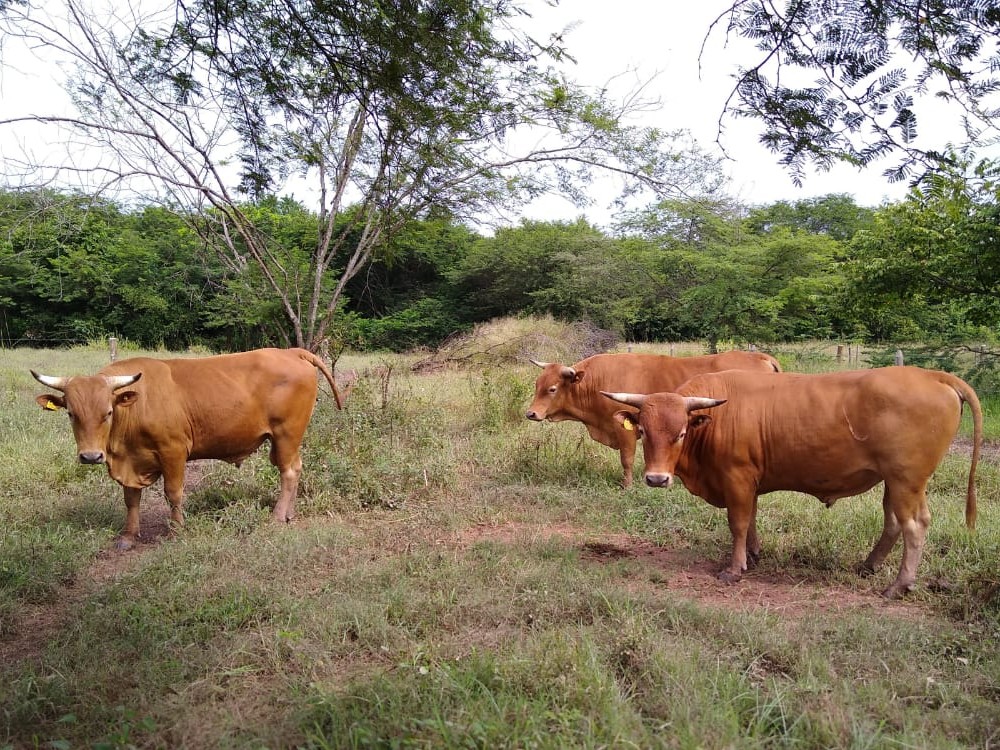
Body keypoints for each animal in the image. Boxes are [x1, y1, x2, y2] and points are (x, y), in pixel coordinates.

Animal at [32, 348, 344, 552]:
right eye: (71, 414)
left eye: (107, 413)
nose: (90, 456)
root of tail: (290, 351)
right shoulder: (130, 461)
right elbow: (131, 499)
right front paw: (128, 536)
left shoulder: (173, 451)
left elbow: (173, 493)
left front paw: (177, 530)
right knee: (295, 468)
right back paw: (289, 513)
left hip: (287, 434)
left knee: (288, 472)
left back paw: (278, 517)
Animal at [524, 352, 780, 488]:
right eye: (537, 385)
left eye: (552, 389)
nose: (531, 414)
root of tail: (762, 356)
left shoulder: (626, 431)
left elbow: (626, 460)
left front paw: (627, 486)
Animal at [600, 368, 984, 604]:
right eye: (644, 431)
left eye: (680, 433)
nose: (656, 478)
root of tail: (930, 374)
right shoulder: (747, 481)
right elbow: (751, 520)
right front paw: (753, 554)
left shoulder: (737, 477)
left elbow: (738, 523)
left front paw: (734, 568)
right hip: (897, 481)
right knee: (894, 523)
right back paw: (869, 565)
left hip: (907, 480)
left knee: (914, 527)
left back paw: (899, 585)